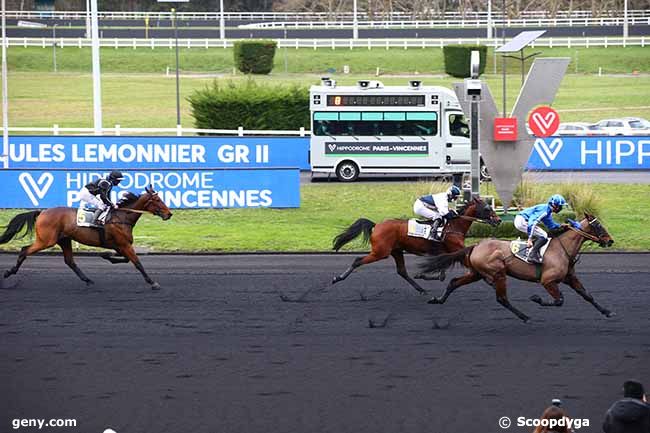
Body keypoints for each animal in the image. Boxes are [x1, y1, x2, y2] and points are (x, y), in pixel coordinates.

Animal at [0, 186, 172, 290]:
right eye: (157, 200)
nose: (169, 214)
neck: (122, 217)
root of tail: (42, 211)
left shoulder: (119, 245)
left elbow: (124, 259)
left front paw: (106, 256)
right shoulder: (124, 245)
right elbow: (137, 263)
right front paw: (153, 282)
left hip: (64, 240)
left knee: (69, 261)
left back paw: (88, 279)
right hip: (46, 240)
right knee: (24, 250)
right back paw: (8, 273)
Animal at [332, 197, 498, 292]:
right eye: (487, 208)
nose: (498, 220)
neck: (453, 226)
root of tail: (377, 225)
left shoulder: (445, 253)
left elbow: (441, 272)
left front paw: (424, 275)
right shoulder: (457, 250)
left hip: (396, 251)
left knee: (402, 271)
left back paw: (421, 289)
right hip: (381, 252)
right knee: (358, 261)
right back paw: (338, 278)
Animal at [420, 213, 612, 320]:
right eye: (598, 225)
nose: (610, 241)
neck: (561, 249)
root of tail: (475, 246)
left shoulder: (569, 278)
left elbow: (587, 295)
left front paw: (607, 311)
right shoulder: (548, 281)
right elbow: (559, 300)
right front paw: (536, 298)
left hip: (476, 273)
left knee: (454, 282)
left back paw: (438, 299)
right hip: (497, 272)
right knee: (502, 299)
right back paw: (524, 317)